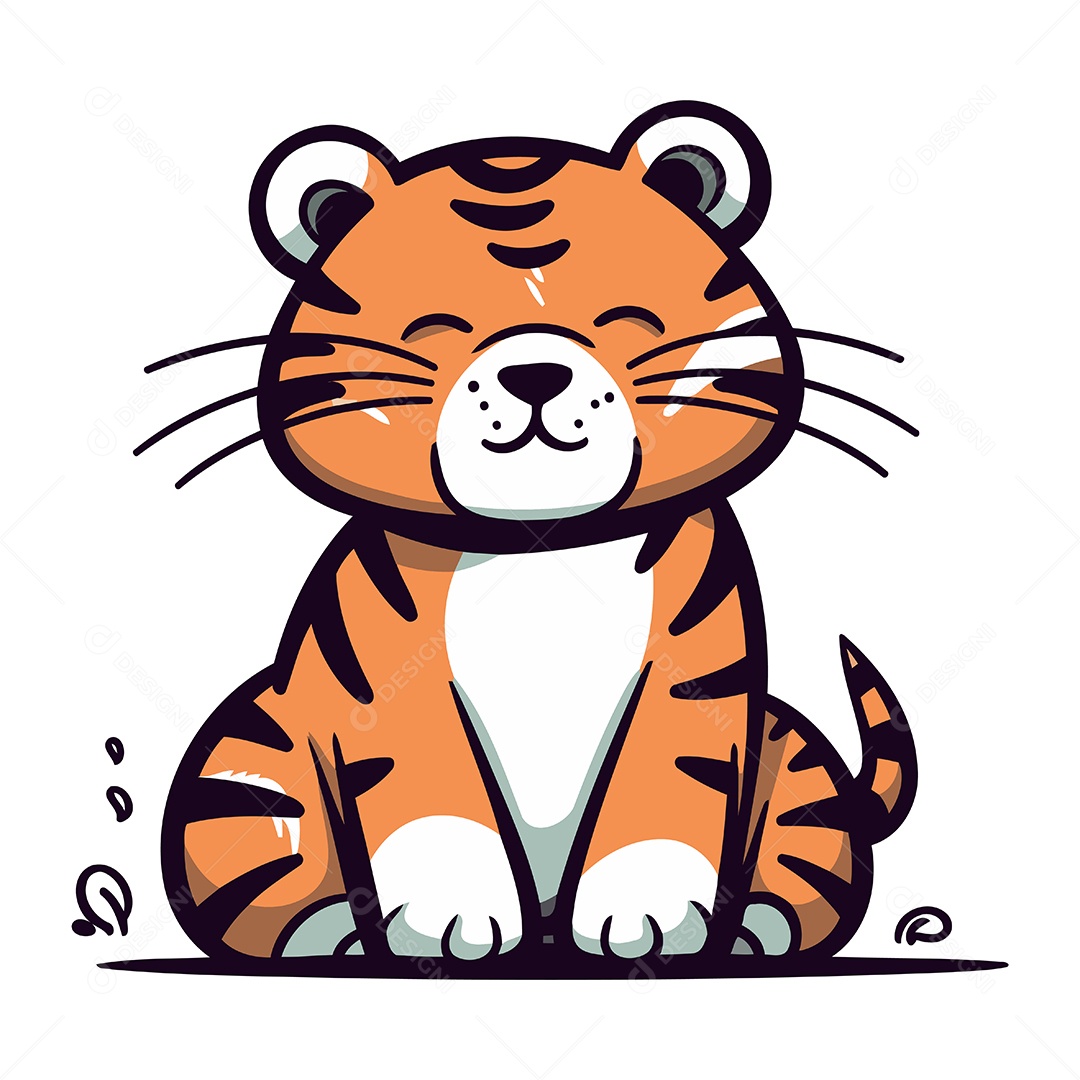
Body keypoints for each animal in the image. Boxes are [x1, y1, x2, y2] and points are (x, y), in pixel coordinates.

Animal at [152, 100, 918, 969]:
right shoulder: (388, 686)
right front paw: (444, 923)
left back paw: (755, 930)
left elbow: (669, 783)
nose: (535, 373)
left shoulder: (695, 675)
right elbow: (427, 792)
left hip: (793, 764)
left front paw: (654, 921)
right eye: (435, 328)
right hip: (248, 769)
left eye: (625, 320)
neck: (542, 544)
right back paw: (333, 937)